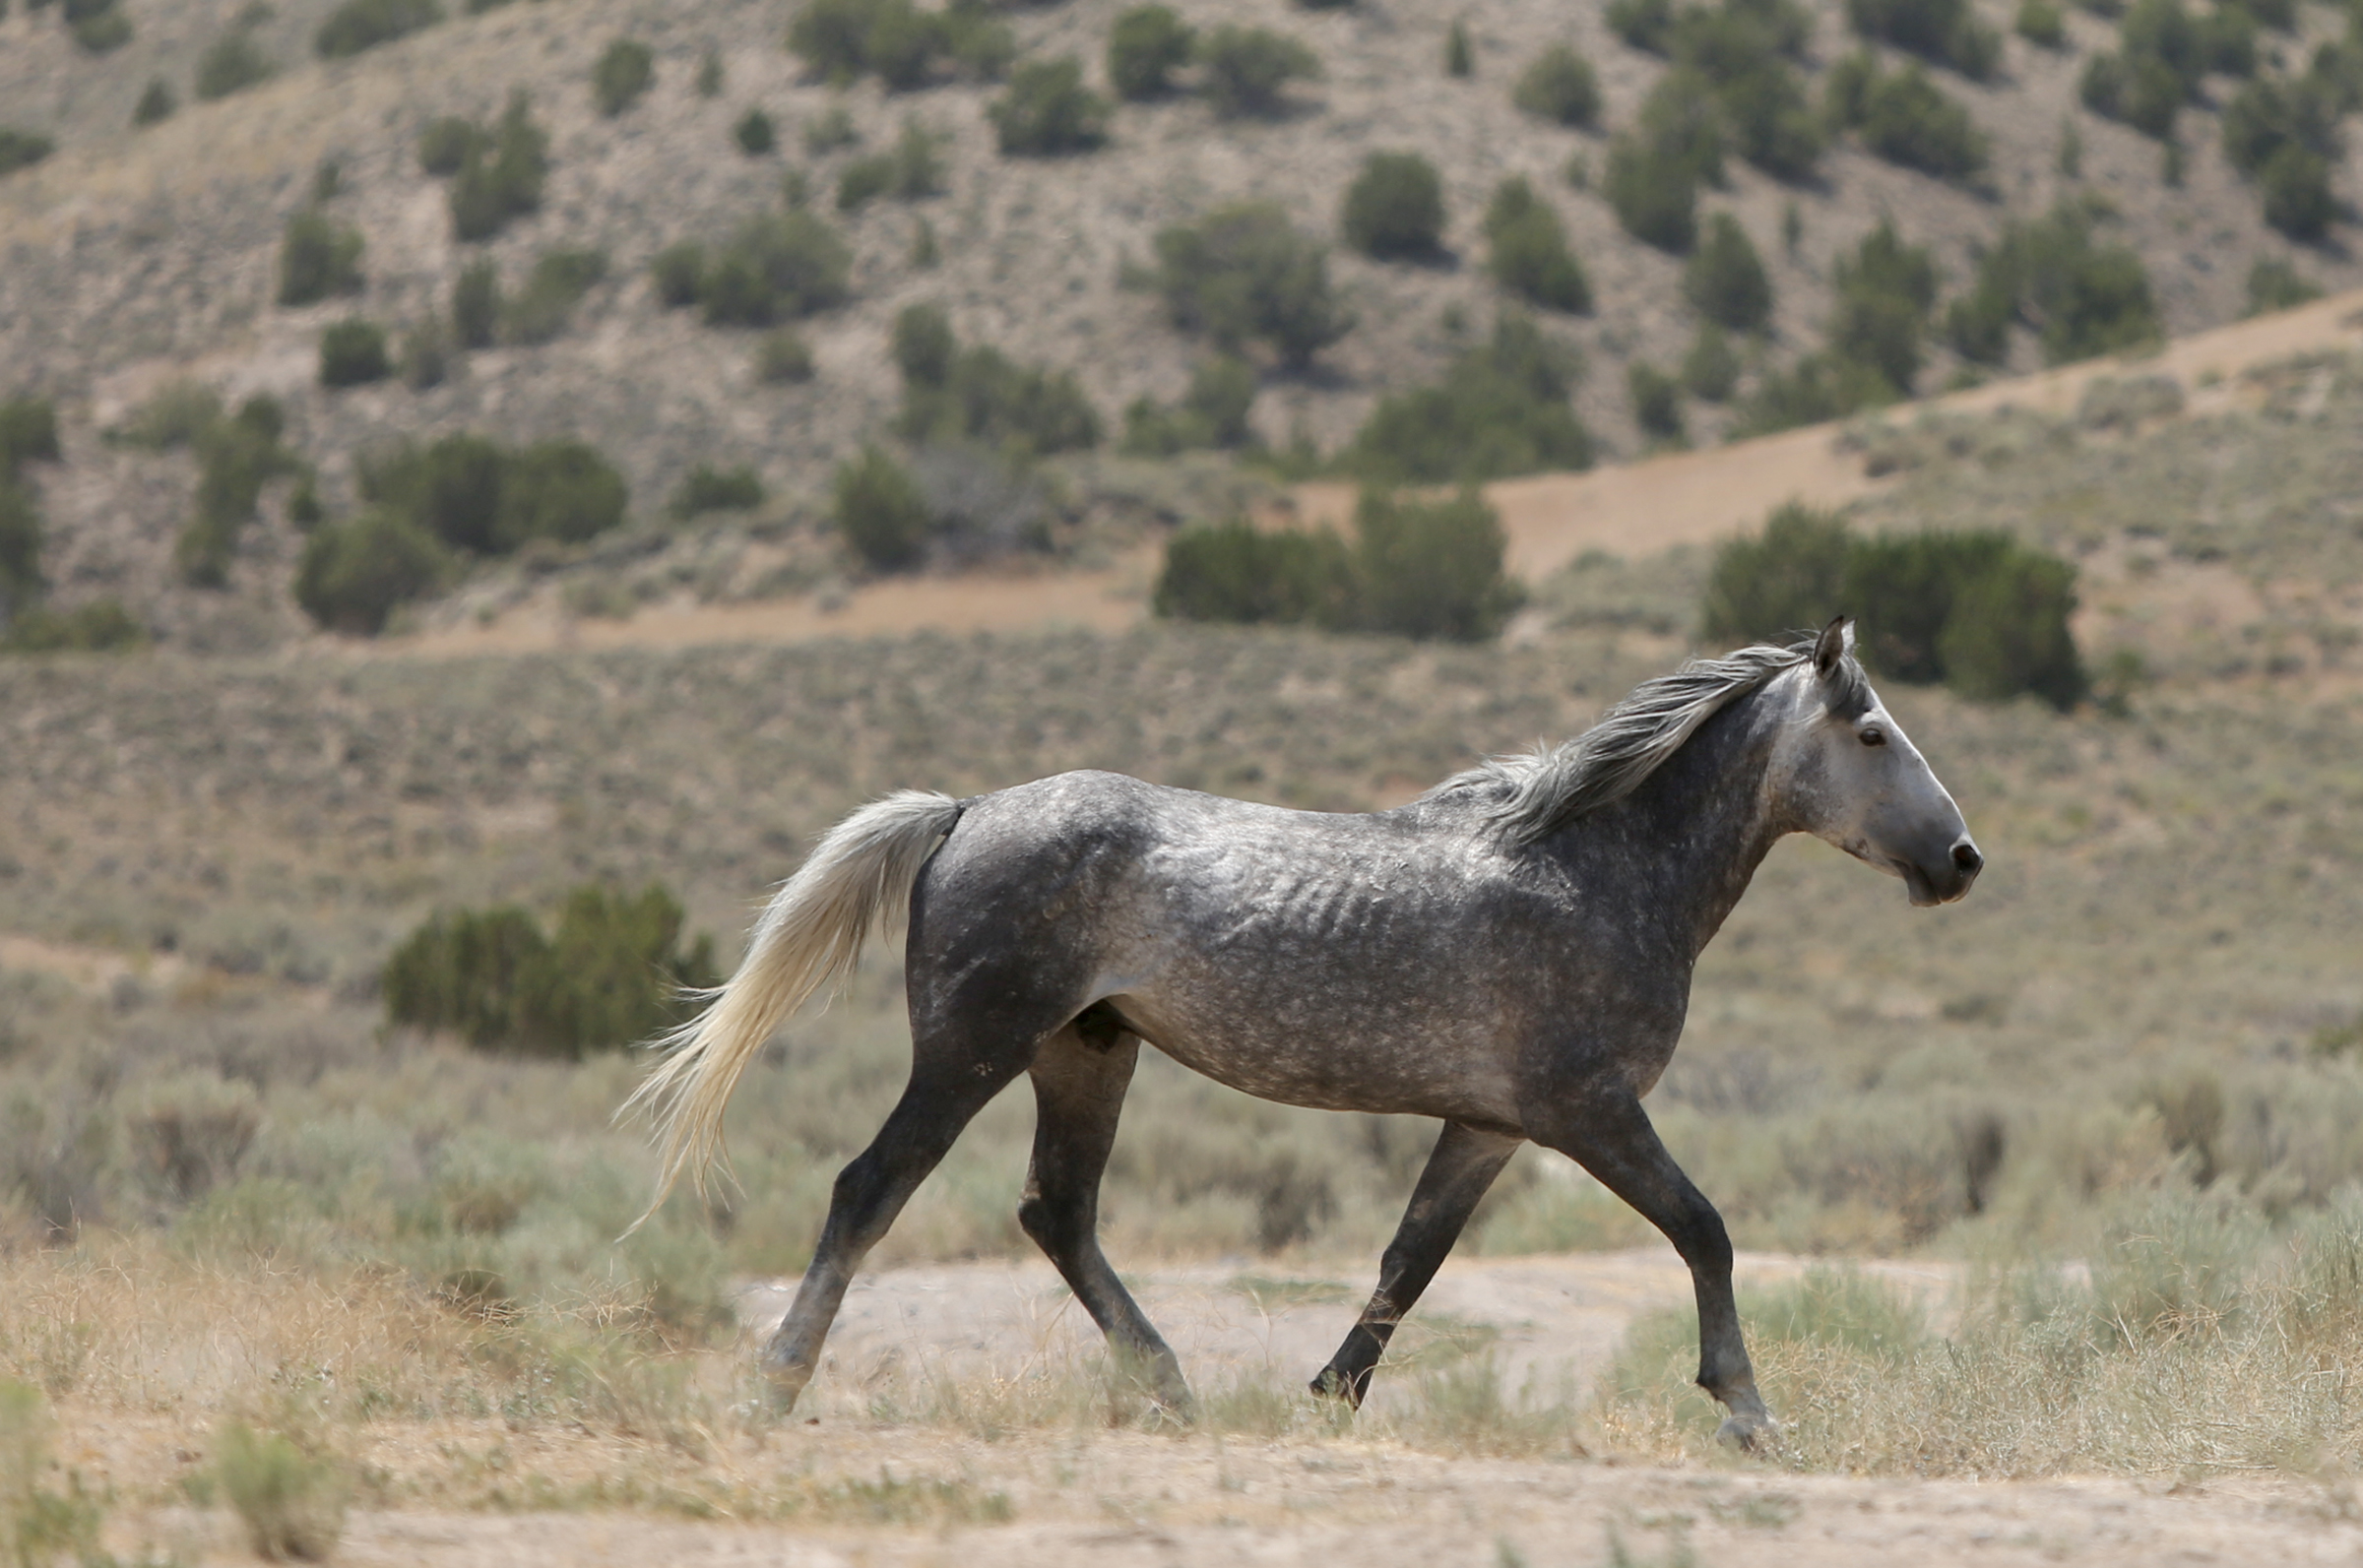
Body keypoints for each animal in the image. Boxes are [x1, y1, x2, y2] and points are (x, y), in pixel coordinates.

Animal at [624, 618, 1982, 1447]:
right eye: (1873, 735)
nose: (1963, 861)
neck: (1594, 869)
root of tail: (964, 813)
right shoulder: (1589, 1110)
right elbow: (1705, 1230)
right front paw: (1748, 1412)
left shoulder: (1487, 1126)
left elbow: (1407, 1263)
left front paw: (1326, 1398)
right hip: (974, 1046)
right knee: (872, 1188)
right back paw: (775, 1388)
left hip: (1086, 1051)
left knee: (1057, 1212)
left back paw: (1171, 1391)